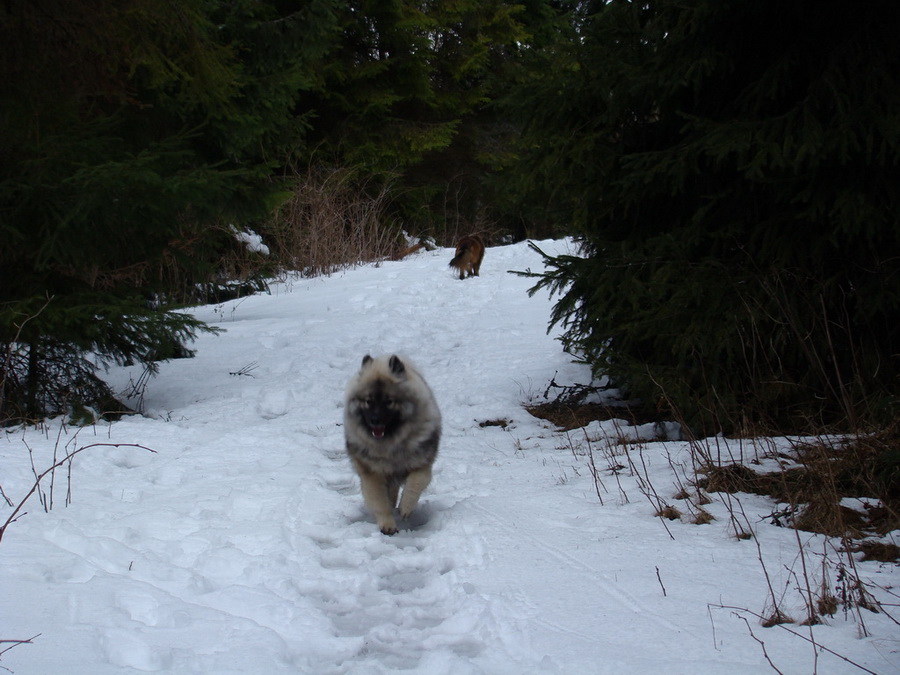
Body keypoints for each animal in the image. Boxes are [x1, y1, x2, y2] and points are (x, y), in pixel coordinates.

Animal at [342, 356, 442, 536]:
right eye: (368, 401)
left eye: (389, 402)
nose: (375, 420)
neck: (391, 444)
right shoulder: (372, 474)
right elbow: (380, 502)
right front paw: (387, 525)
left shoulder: (422, 466)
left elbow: (414, 486)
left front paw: (405, 508)